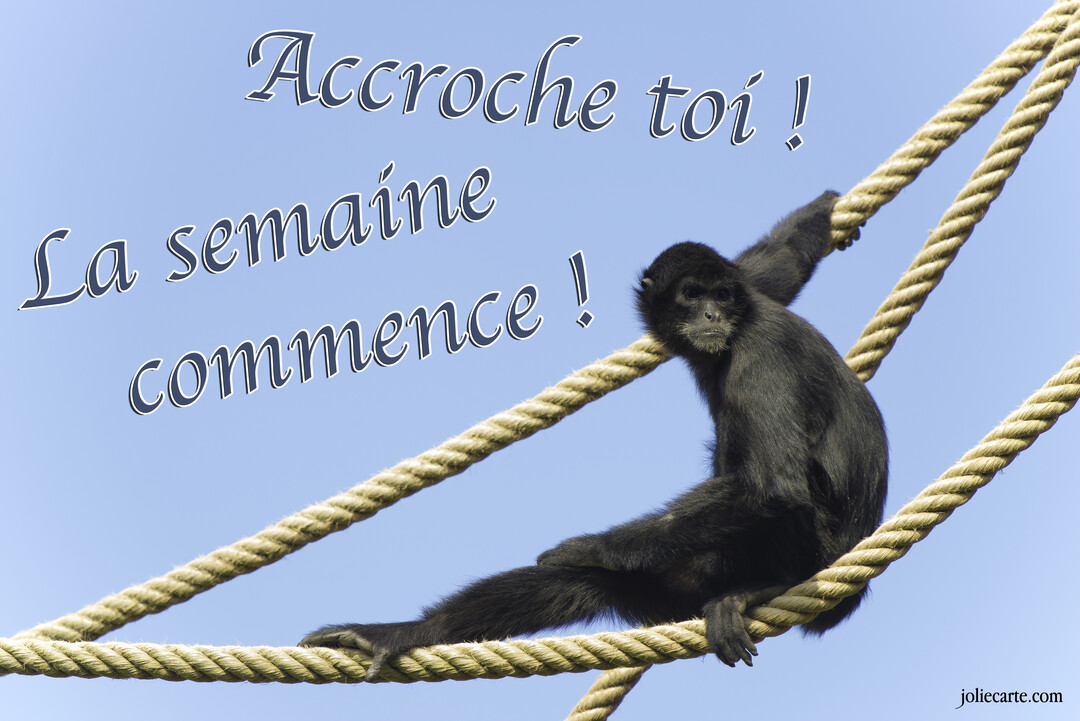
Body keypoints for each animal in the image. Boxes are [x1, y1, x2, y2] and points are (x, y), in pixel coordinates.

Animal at [300, 190, 888, 679]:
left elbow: (776, 486)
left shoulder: (758, 350)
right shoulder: (753, 294)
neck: (736, 329)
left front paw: (589, 546)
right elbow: (777, 265)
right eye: (692, 294)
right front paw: (825, 209)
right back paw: (406, 633)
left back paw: (759, 589)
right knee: (585, 585)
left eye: (718, 296)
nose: (712, 313)